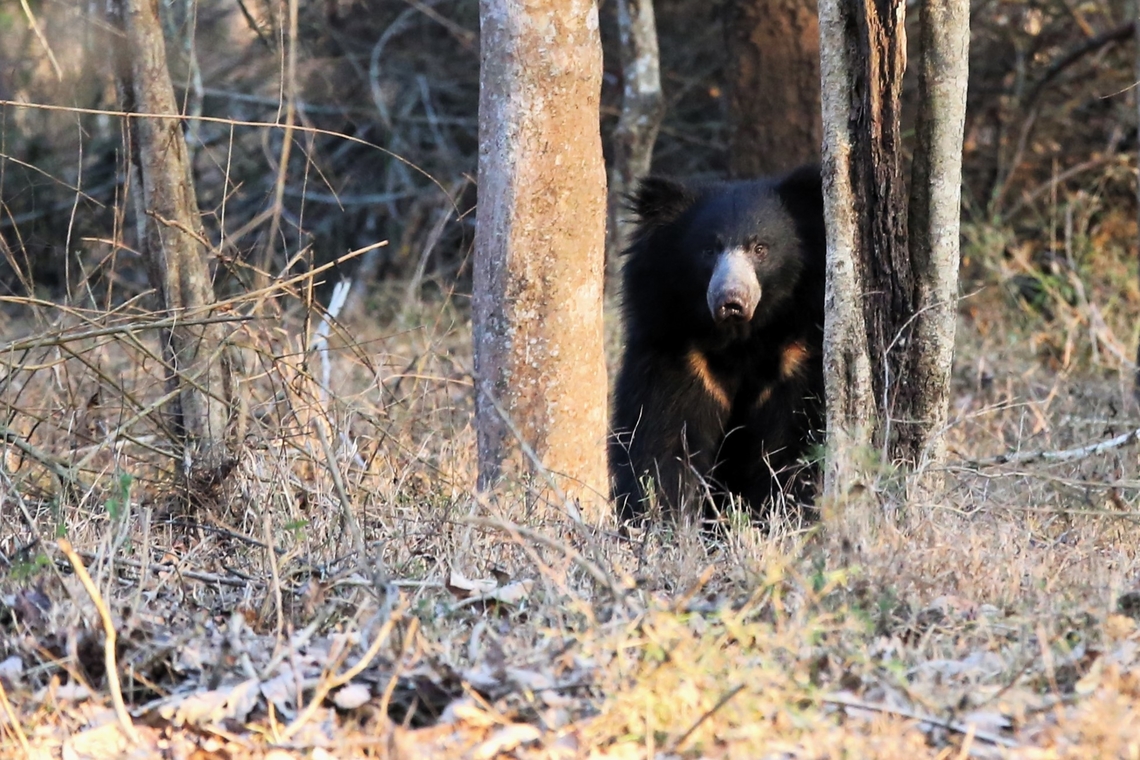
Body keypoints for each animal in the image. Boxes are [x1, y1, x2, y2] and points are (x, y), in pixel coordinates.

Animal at [609, 163, 826, 526]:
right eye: (709, 250)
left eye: (760, 248)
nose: (731, 300)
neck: (740, 338)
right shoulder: (679, 354)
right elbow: (662, 440)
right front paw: (663, 519)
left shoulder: (798, 355)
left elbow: (793, 440)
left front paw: (786, 513)